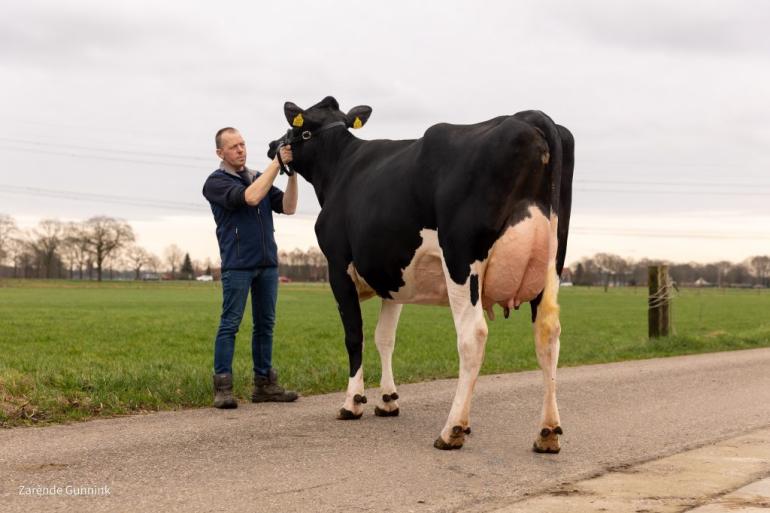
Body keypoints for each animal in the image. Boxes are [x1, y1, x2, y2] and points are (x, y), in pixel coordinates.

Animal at [268, 94, 572, 450]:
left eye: (295, 127)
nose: (272, 146)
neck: (339, 168)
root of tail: (529, 116)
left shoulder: (337, 267)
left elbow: (355, 335)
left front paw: (353, 402)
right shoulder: (393, 278)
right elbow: (385, 337)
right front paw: (388, 400)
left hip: (461, 259)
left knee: (473, 336)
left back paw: (453, 429)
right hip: (552, 265)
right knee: (548, 334)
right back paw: (547, 432)